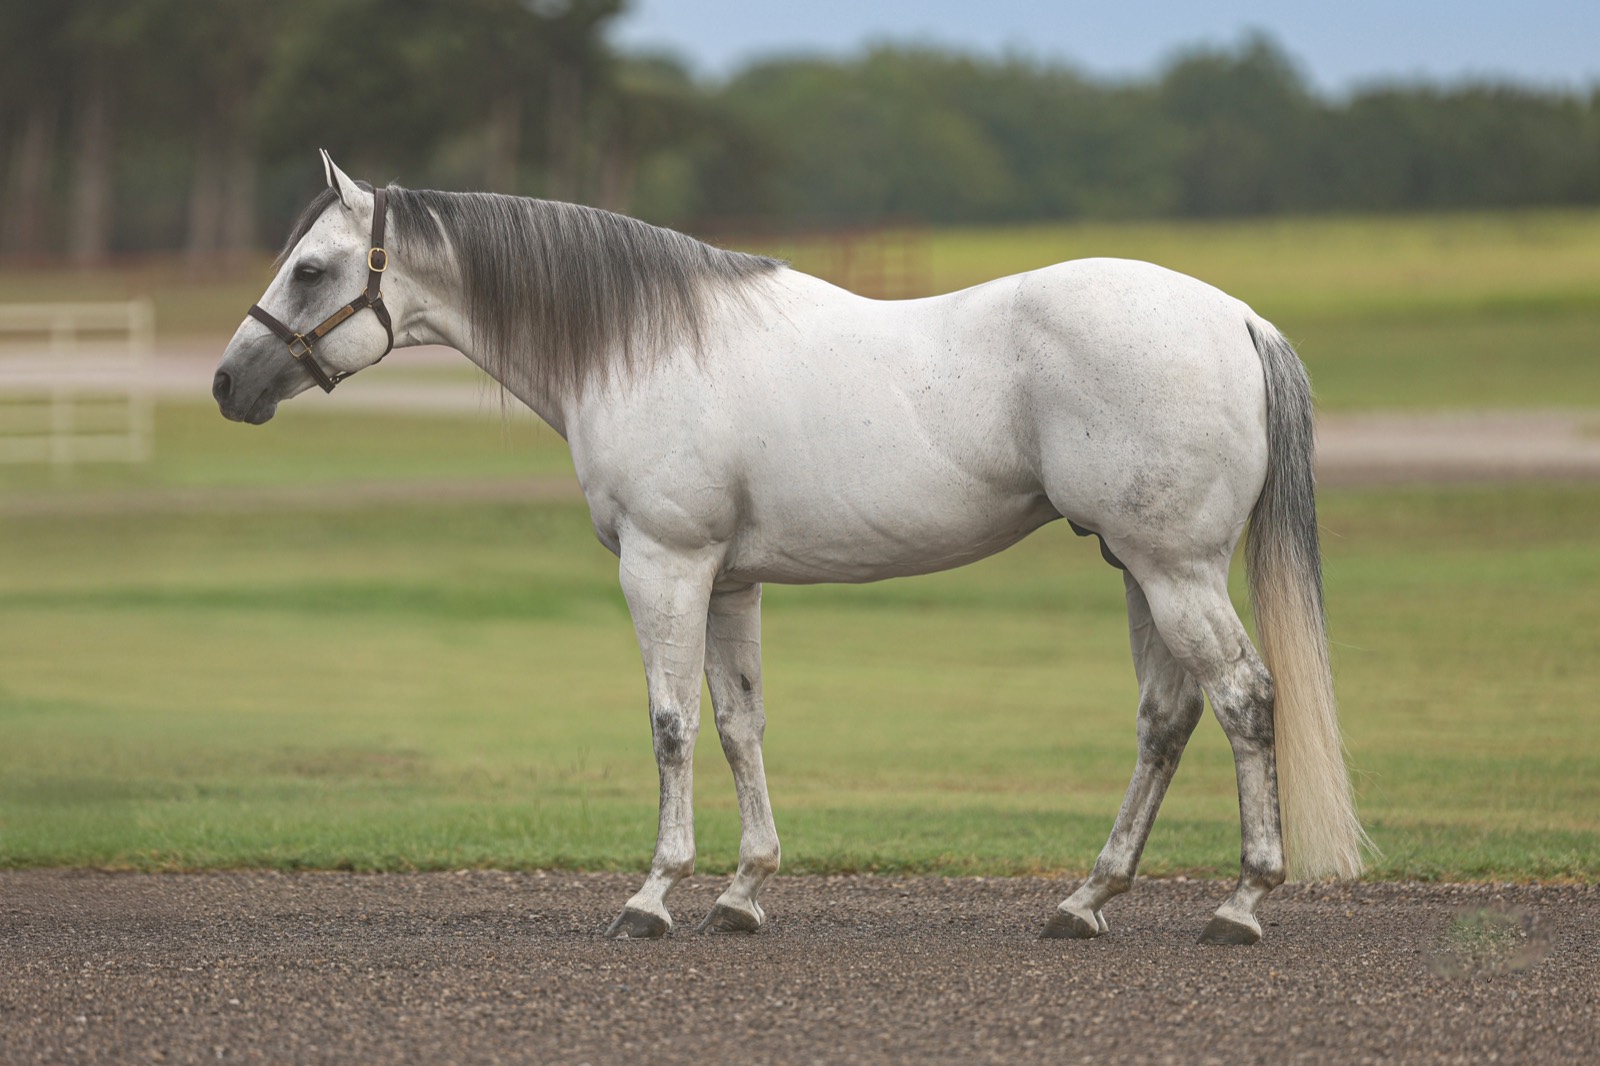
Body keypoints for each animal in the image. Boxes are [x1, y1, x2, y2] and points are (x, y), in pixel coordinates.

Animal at [214, 152, 1368, 944]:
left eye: (311, 268)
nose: (227, 384)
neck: (637, 346)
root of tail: (1239, 320)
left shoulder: (664, 566)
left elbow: (671, 726)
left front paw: (653, 894)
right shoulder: (730, 583)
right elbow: (738, 726)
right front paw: (742, 891)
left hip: (1174, 572)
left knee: (1244, 699)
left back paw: (1240, 903)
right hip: (1141, 570)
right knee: (1166, 720)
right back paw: (1086, 899)